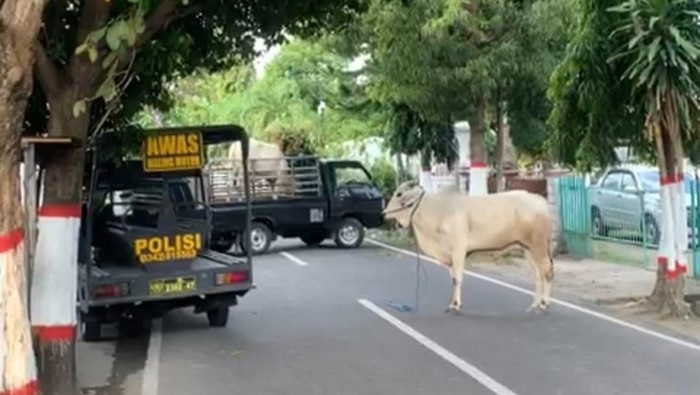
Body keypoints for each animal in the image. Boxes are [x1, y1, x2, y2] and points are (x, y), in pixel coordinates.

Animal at [380, 182, 556, 316]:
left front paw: (455, 306)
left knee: (547, 272)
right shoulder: (450, 257)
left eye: (399, 194)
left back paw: (543, 304)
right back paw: (534, 305)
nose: (384, 213)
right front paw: (454, 303)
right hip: (528, 249)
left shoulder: (458, 250)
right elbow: (453, 279)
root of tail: (540, 200)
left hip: (538, 247)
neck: (438, 209)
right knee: (538, 275)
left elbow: (457, 279)